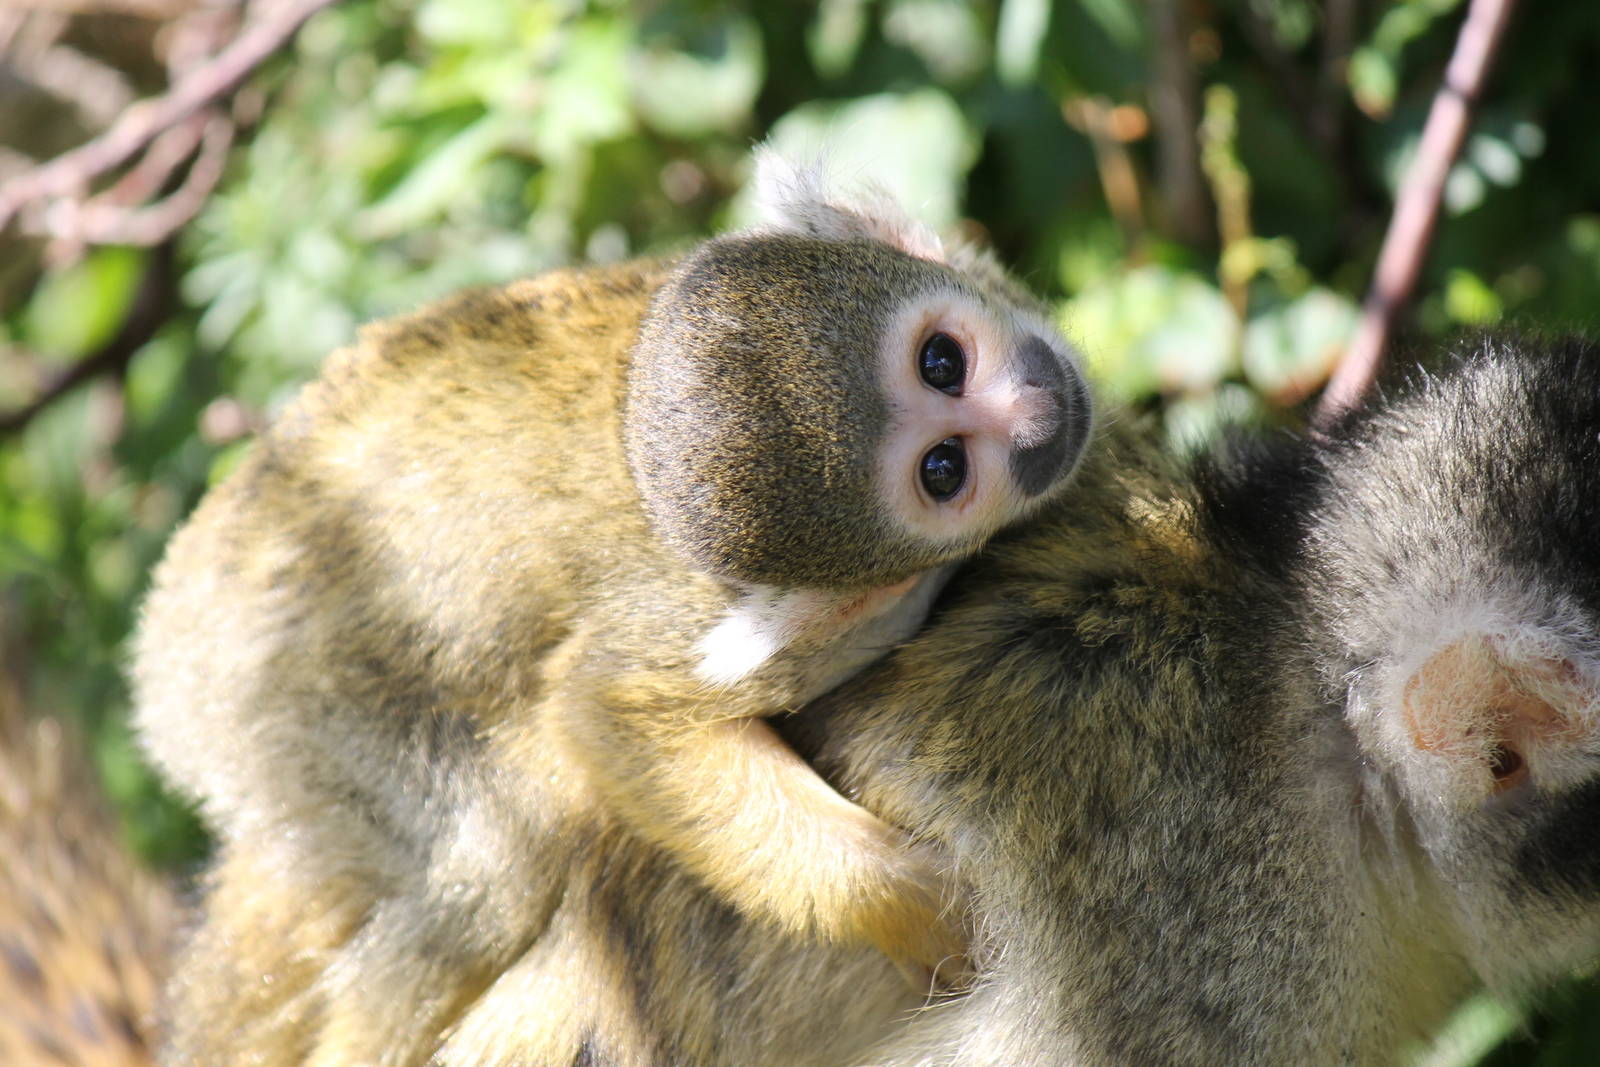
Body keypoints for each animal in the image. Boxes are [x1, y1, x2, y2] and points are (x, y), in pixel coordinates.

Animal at [128, 154, 1092, 1063]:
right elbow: (611, 714)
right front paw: (911, 899)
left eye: (942, 359)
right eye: (943, 469)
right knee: (492, 863)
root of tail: (164, 666)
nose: (1039, 407)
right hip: (289, 712)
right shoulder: (809, 630)